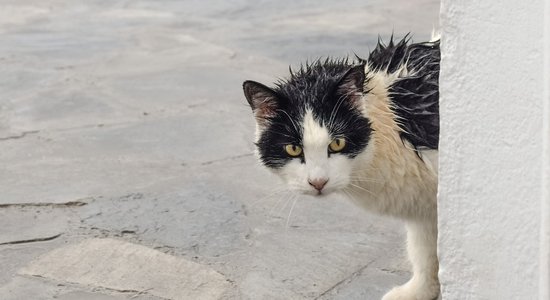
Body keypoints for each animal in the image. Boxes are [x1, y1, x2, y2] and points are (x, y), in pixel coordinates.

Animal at [244, 35, 442, 300]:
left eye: (337, 143)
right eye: (293, 149)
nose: (318, 182)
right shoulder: (424, 208)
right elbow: (425, 252)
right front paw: (420, 291)